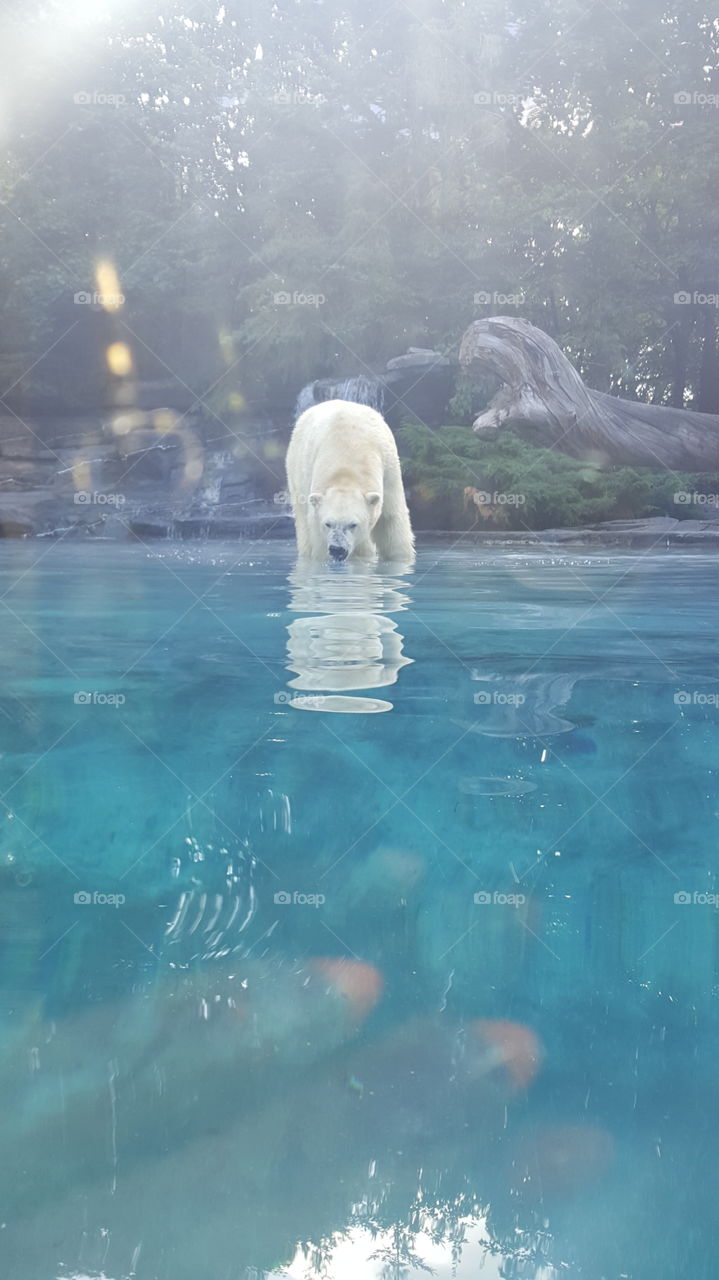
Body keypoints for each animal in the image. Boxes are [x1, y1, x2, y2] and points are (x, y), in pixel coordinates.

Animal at [282, 399, 411, 560]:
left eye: (353, 524)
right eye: (328, 524)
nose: (337, 550)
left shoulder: (389, 470)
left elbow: (390, 518)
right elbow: (317, 533)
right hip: (295, 469)